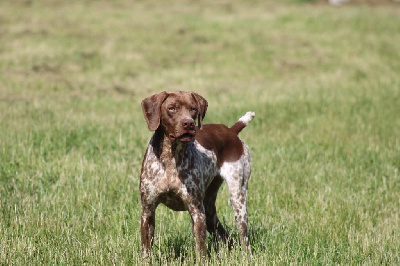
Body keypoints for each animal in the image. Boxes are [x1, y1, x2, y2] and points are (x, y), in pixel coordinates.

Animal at [139, 91, 255, 258]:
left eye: (193, 109)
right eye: (171, 108)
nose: (188, 123)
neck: (170, 157)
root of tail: (231, 131)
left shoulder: (197, 212)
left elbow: (201, 250)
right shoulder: (148, 211)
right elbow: (146, 250)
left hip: (238, 197)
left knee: (243, 238)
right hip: (210, 210)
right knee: (226, 237)